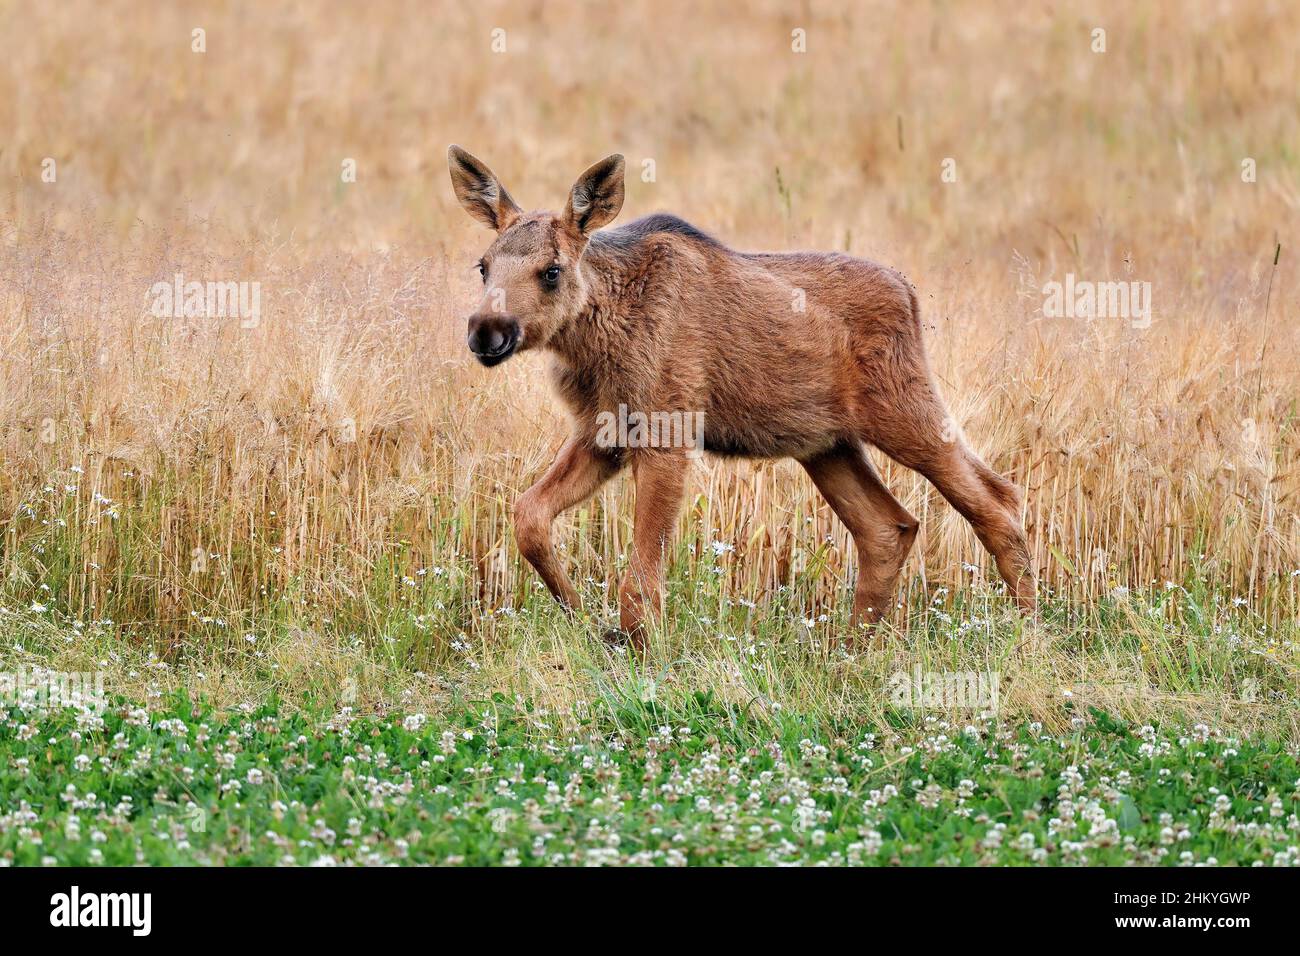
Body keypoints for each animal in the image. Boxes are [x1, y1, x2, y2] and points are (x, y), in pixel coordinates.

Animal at [449, 145, 1034, 650]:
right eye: (483, 265)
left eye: (551, 271)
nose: (487, 331)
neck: (594, 340)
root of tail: (909, 293)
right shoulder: (602, 432)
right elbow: (528, 516)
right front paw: (576, 610)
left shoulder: (668, 431)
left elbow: (640, 579)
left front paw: (641, 655)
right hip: (828, 444)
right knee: (889, 527)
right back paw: (851, 649)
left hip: (907, 413)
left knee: (998, 501)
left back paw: (1027, 630)